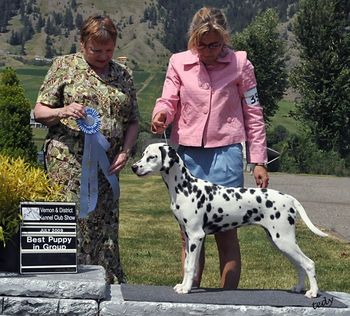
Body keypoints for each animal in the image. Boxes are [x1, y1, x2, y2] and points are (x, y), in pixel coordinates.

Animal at [131, 144, 328, 298]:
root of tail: (289, 198)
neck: (184, 187)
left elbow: (191, 266)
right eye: (143, 154)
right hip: (280, 242)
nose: (133, 167)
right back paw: (299, 288)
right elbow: (188, 264)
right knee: (300, 265)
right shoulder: (188, 237)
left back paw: (312, 292)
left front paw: (186, 289)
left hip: (284, 240)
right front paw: (183, 285)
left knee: (309, 263)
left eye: (151, 157)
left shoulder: (196, 236)